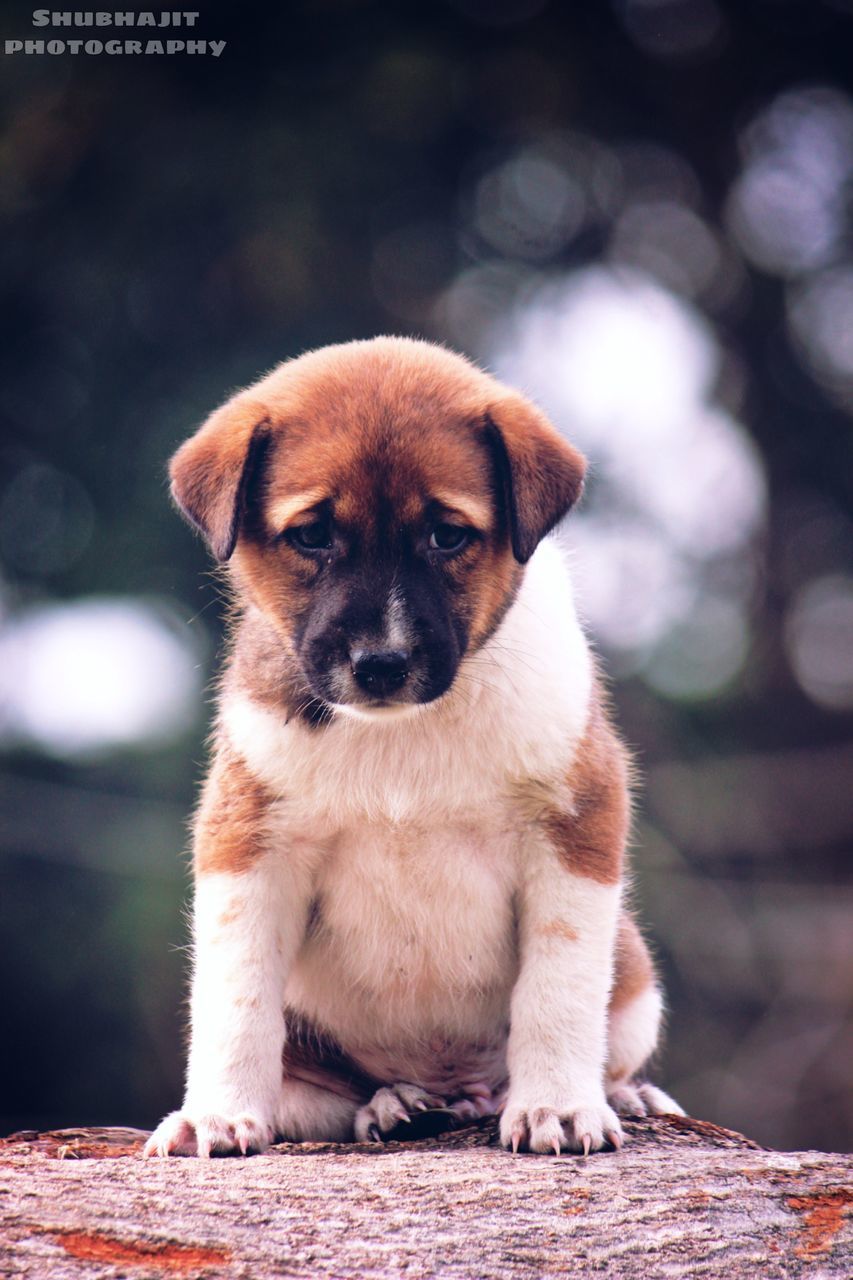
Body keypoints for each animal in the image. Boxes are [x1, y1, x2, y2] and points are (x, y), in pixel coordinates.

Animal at [142, 332, 681, 1162]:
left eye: (446, 534)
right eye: (312, 535)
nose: (382, 664)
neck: (401, 730)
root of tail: (454, 1089)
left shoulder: (574, 831)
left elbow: (556, 989)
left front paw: (558, 1106)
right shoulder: (248, 844)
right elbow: (235, 998)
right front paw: (217, 1115)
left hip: (634, 977)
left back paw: (609, 1092)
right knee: (326, 1097)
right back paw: (396, 1106)